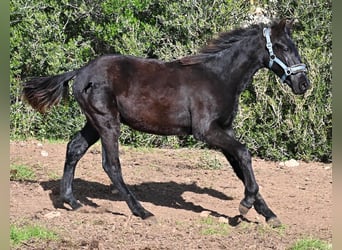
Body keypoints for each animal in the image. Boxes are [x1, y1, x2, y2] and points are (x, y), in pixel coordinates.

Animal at [21, 18, 310, 228]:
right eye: (284, 47)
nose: (303, 84)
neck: (219, 77)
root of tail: (80, 72)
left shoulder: (224, 129)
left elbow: (240, 166)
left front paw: (267, 213)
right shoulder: (207, 131)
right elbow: (244, 153)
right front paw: (245, 205)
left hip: (94, 123)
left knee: (74, 148)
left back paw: (72, 201)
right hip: (107, 122)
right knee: (111, 164)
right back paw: (142, 211)